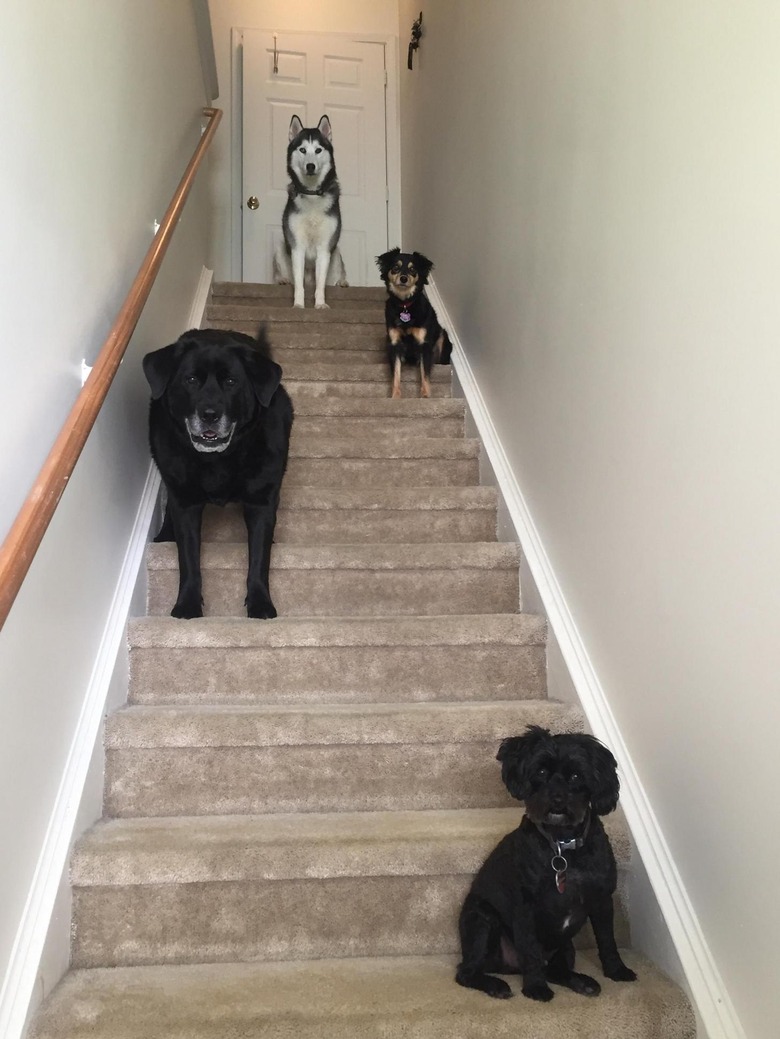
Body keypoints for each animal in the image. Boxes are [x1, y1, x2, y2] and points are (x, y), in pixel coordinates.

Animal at [375, 247, 450, 401]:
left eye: (413, 269)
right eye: (395, 268)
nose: (403, 278)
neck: (405, 305)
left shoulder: (424, 344)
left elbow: (424, 375)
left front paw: (425, 395)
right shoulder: (394, 344)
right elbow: (396, 375)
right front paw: (395, 396)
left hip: (443, 339)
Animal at [454, 727, 635, 1001]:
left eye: (575, 776)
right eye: (540, 772)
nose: (557, 799)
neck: (562, 846)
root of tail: (509, 967)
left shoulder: (602, 899)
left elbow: (607, 940)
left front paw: (617, 970)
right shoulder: (525, 907)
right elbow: (530, 950)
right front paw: (536, 989)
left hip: (566, 947)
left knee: (556, 970)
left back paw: (582, 982)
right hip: (481, 922)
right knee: (466, 972)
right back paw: (496, 986)